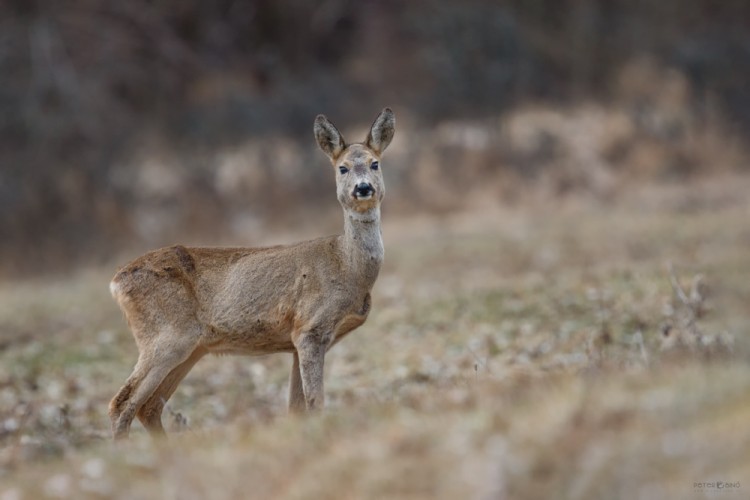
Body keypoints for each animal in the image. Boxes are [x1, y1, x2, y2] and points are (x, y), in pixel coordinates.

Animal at [108, 108, 396, 438]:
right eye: (343, 168)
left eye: (375, 163)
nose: (363, 188)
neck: (346, 265)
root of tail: (116, 282)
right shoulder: (311, 327)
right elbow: (315, 402)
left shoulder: (295, 341)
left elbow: (295, 407)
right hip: (165, 336)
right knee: (122, 404)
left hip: (191, 348)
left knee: (149, 407)